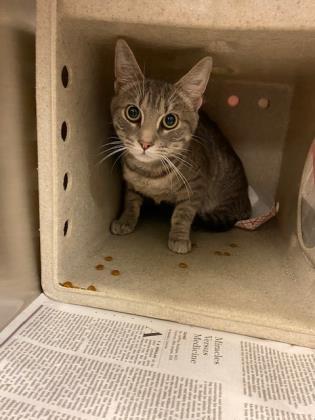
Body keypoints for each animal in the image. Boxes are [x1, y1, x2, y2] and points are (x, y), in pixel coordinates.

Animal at [110, 39, 251, 254]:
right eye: (133, 112)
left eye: (170, 120)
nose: (145, 143)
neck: (150, 174)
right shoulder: (130, 182)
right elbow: (131, 200)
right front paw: (125, 219)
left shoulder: (196, 186)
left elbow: (183, 213)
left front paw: (179, 236)